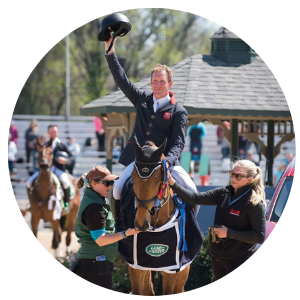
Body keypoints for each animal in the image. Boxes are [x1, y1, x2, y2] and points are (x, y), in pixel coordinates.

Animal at [116, 137, 203, 296]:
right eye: (133, 178)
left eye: (157, 180)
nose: (141, 224)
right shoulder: (135, 265)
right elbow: (140, 291)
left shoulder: (172, 267)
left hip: (184, 267)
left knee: (179, 289)